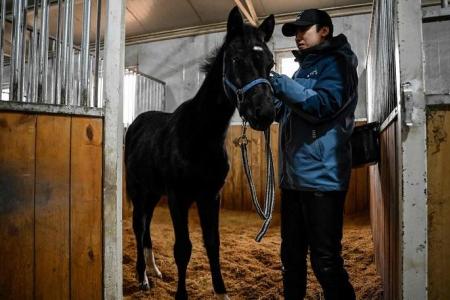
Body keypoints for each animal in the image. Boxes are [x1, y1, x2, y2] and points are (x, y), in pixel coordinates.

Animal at [125, 7, 276, 300]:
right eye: (236, 58)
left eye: (271, 64)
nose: (264, 112)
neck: (198, 134)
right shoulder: (178, 197)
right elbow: (183, 248)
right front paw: (181, 295)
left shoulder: (210, 196)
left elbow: (212, 242)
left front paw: (222, 292)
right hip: (139, 190)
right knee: (139, 225)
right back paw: (143, 277)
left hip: (153, 191)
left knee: (147, 226)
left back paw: (154, 270)